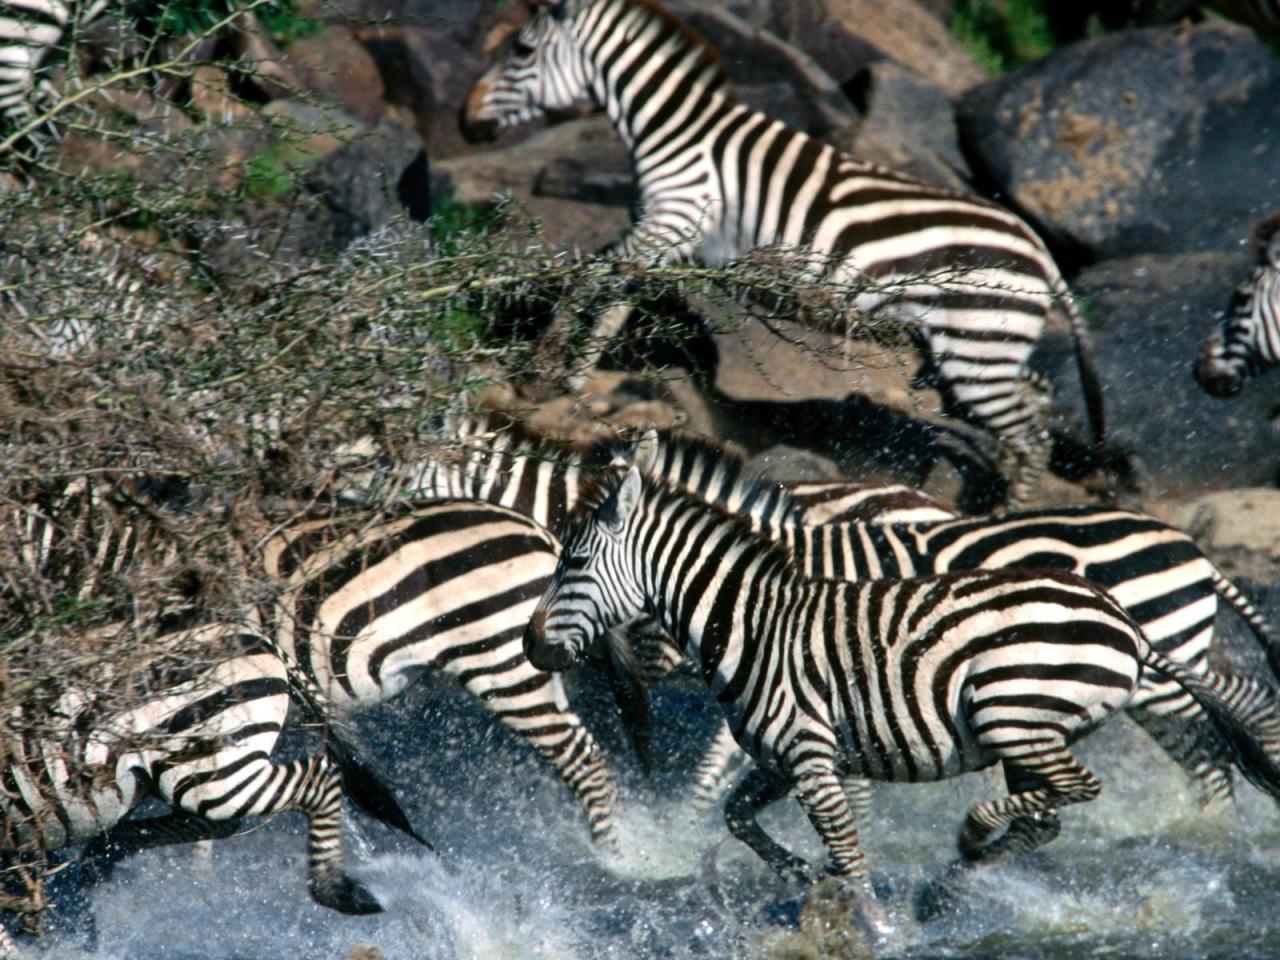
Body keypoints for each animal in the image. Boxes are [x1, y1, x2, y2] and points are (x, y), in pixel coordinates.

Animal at [460, 0, 1111, 506]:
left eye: (521, 49)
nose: (465, 123)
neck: (673, 132)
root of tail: (1039, 249)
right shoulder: (668, 236)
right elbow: (618, 293)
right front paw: (572, 375)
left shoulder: (673, 215)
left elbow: (593, 273)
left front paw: (542, 365)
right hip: (987, 346)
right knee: (1037, 407)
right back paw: (994, 493)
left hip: (975, 348)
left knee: (1029, 434)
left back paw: (1005, 516)